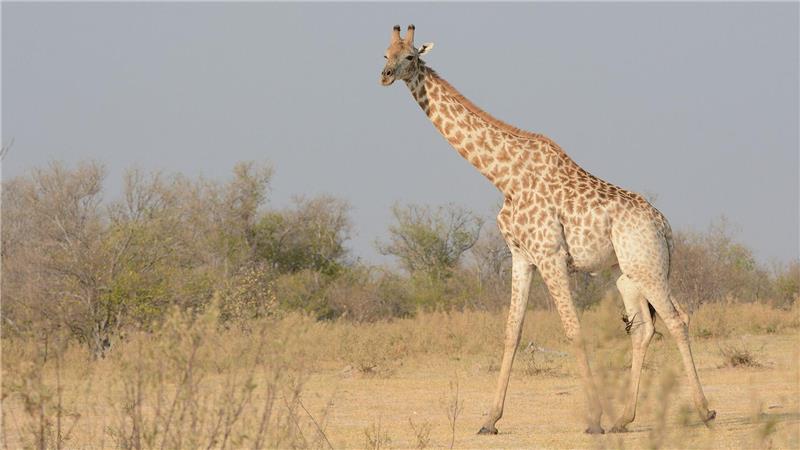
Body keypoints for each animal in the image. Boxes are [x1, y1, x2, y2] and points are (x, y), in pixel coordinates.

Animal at [379, 25, 716, 434]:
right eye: (385, 54)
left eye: (410, 56)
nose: (385, 76)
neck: (502, 176)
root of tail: (665, 226)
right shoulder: (521, 255)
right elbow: (512, 331)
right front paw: (489, 420)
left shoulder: (550, 254)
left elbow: (573, 329)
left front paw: (593, 419)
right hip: (629, 274)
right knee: (644, 329)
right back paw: (624, 418)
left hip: (647, 266)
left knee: (677, 320)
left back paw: (704, 411)